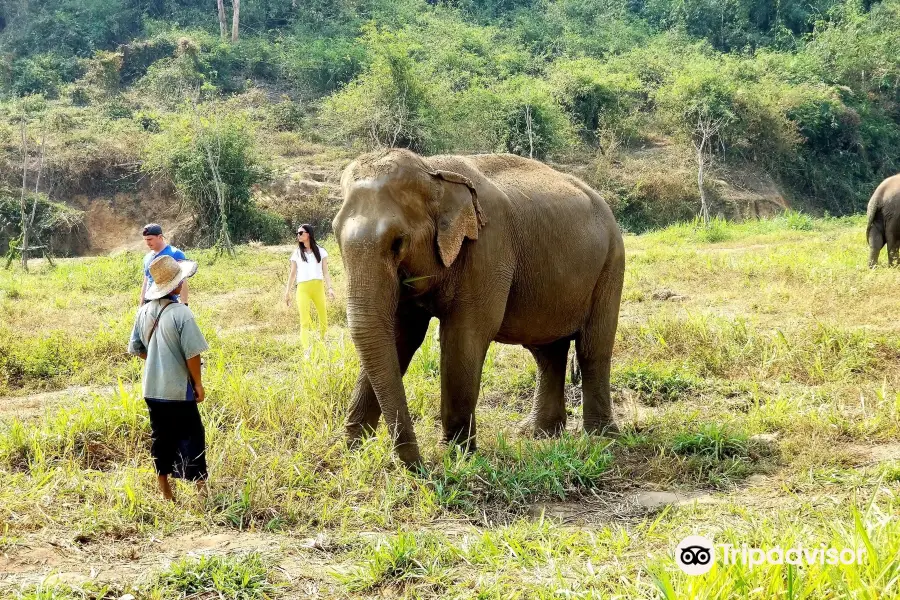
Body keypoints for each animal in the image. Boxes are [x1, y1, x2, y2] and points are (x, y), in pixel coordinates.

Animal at [334, 148, 624, 466]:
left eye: (398, 242)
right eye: (334, 235)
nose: (419, 467)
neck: (432, 169)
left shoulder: (488, 250)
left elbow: (464, 338)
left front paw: (455, 456)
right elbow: (401, 338)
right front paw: (349, 452)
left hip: (612, 264)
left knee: (592, 349)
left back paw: (601, 437)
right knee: (547, 352)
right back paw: (539, 433)